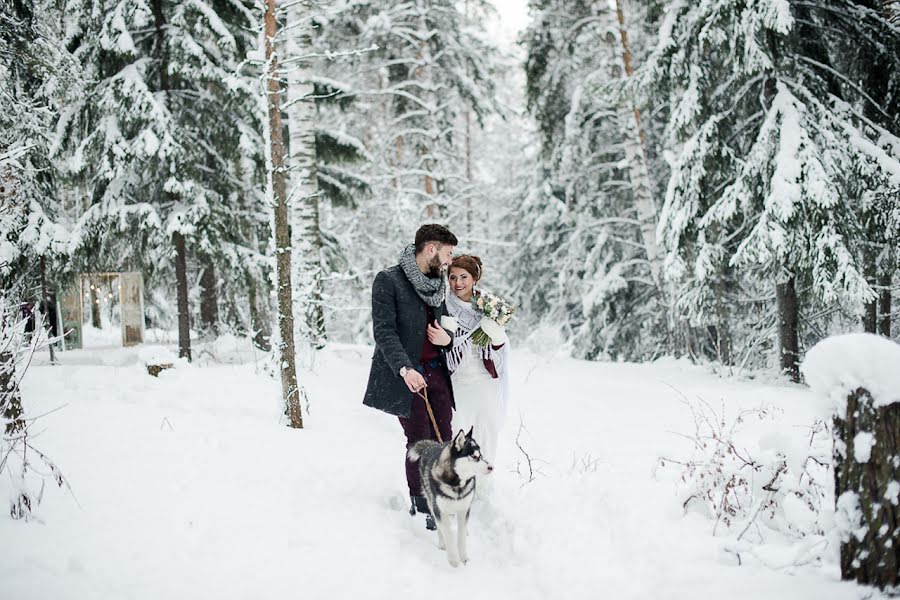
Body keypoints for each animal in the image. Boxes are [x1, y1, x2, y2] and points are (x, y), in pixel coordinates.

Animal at [408, 426, 492, 568]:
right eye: (474, 456)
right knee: (439, 526)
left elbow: (461, 535)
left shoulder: (464, 509)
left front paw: (464, 558)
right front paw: (453, 559)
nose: (491, 467)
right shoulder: (440, 510)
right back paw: (442, 543)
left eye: (481, 456)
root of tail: (431, 445)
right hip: (431, 504)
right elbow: (447, 532)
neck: (456, 485)